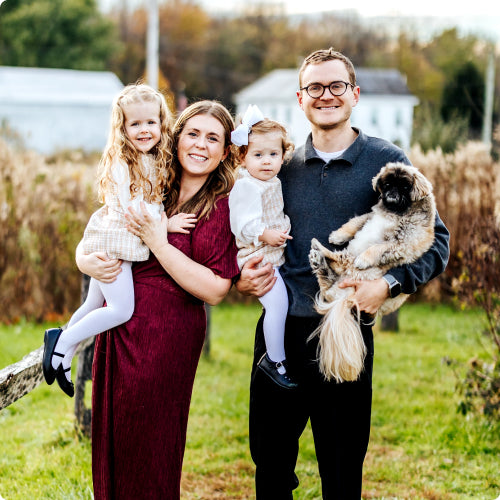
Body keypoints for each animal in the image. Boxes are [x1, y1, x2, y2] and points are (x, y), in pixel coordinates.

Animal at [306, 162, 436, 380]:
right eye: (387, 184)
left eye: (404, 186)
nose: (392, 192)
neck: (395, 212)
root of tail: (344, 299)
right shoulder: (370, 216)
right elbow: (355, 222)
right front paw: (338, 235)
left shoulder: (402, 244)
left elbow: (377, 248)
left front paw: (364, 258)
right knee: (326, 276)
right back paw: (318, 256)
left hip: (353, 268)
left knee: (340, 262)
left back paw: (321, 250)